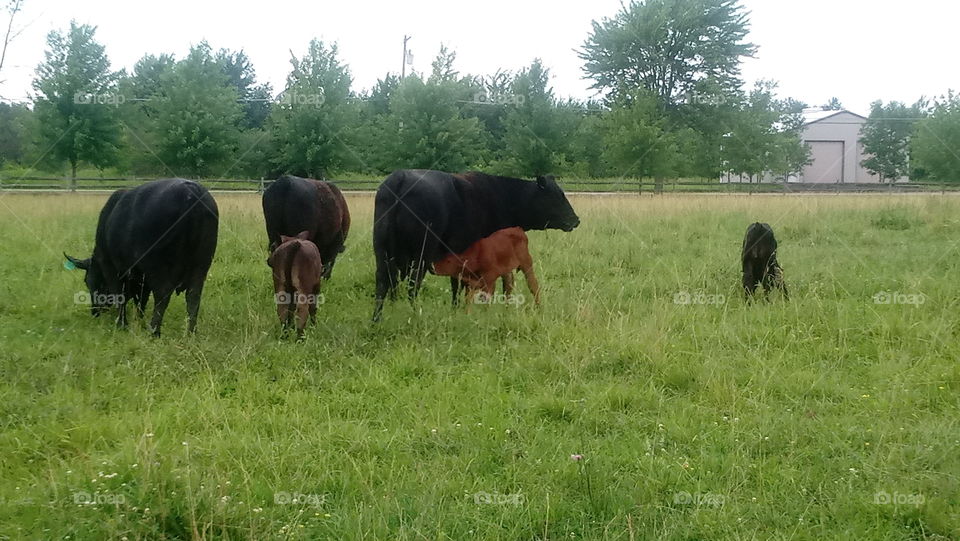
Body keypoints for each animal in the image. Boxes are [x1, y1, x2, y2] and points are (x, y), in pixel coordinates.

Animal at [64, 178, 219, 336]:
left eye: (88, 281)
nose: (95, 312)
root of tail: (190, 191)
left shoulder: (112, 268)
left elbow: (120, 295)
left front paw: (122, 323)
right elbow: (141, 299)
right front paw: (138, 320)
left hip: (158, 267)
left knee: (162, 296)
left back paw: (154, 331)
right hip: (200, 266)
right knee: (193, 297)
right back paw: (190, 332)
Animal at [371, 170, 579, 321]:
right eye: (557, 196)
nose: (576, 220)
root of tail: (400, 177)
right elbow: (461, 283)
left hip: (382, 250)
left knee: (383, 281)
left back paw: (378, 318)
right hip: (421, 253)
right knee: (413, 284)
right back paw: (413, 314)